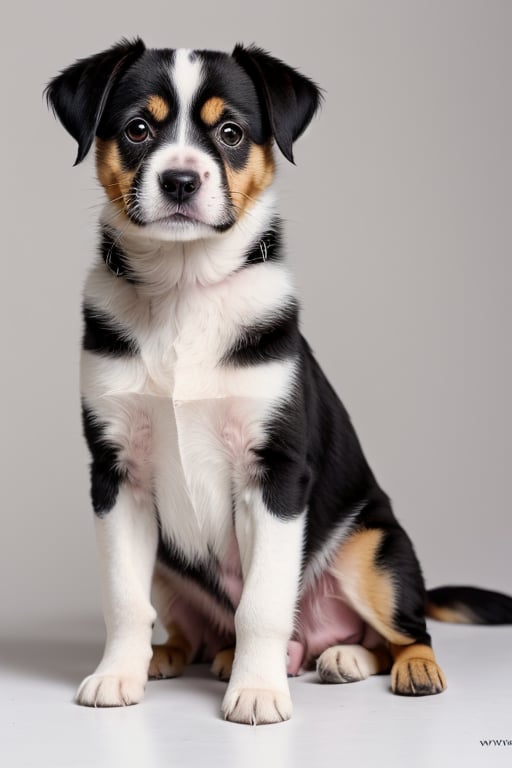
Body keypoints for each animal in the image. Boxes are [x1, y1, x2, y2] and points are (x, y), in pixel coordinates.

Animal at [47, 40, 512, 728]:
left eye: (231, 133)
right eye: (137, 129)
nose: (180, 180)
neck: (185, 289)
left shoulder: (276, 473)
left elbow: (263, 604)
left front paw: (258, 691)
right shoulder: (116, 474)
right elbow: (124, 598)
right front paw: (117, 675)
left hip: (374, 550)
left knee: (403, 631)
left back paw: (391, 665)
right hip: (169, 561)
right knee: (189, 625)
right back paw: (180, 656)